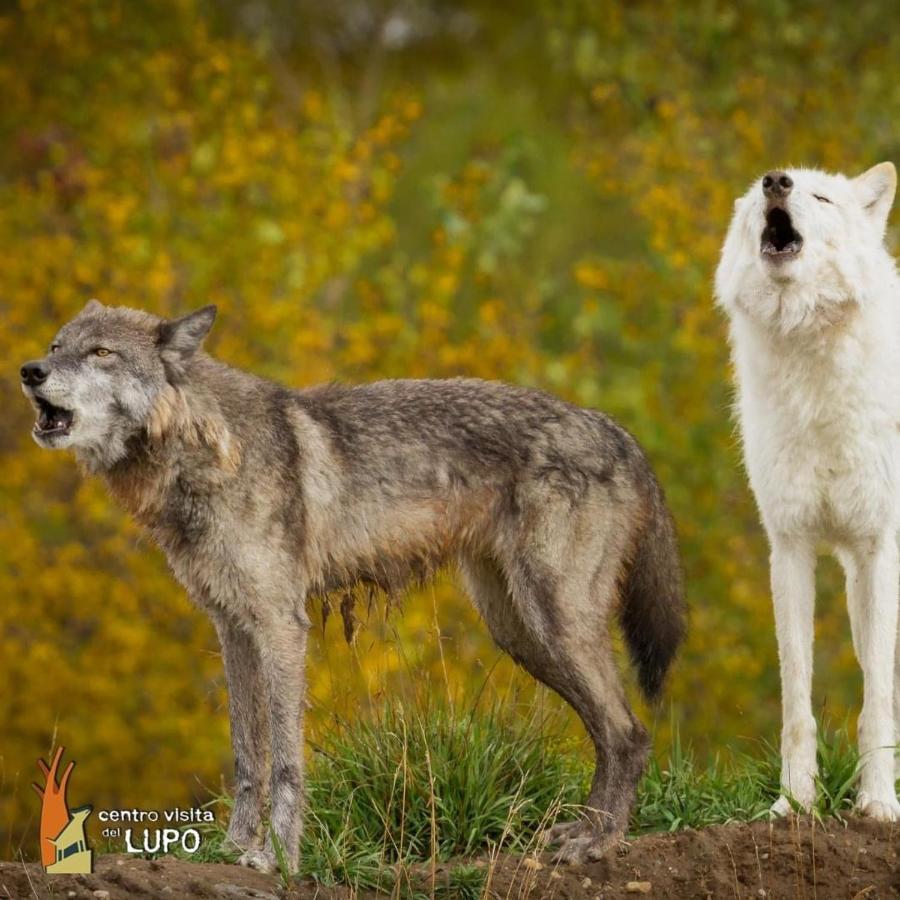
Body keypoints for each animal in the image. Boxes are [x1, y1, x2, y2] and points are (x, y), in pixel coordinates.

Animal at [19, 304, 684, 872]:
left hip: (553, 621)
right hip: (520, 632)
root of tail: (618, 430)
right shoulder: (233, 627)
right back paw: (582, 829)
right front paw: (232, 848)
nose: (29, 372)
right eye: (56, 346)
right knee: (610, 732)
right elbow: (247, 755)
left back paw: (599, 843)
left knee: (629, 732)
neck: (206, 448)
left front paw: (278, 859)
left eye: (101, 352)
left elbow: (286, 761)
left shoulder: (282, 625)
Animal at [716, 163, 900, 824]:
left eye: (820, 196)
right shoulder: (790, 547)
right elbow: (796, 700)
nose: (777, 181)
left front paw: (879, 803)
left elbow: (875, 704)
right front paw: (794, 804)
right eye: (757, 198)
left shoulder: (878, 548)